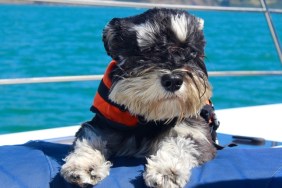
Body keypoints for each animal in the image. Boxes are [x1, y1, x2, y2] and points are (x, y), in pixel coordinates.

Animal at [61, 7, 216, 188]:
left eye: (192, 52)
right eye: (145, 51)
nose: (173, 80)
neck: (149, 117)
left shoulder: (195, 132)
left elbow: (180, 144)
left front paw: (166, 171)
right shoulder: (102, 125)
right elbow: (89, 138)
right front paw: (84, 165)